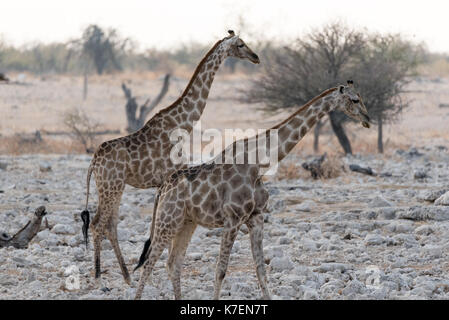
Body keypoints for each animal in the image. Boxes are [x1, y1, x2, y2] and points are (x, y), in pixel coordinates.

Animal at [80, 30, 260, 284]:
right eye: (241, 44)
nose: (256, 57)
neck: (183, 123)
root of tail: (94, 162)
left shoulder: (165, 182)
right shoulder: (169, 176)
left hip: (112, 186)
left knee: (110, 225)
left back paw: (126, 276)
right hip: (111, 186)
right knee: (98, 224)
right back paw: (98, 275)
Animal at [134, 80, 372, 300]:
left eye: (361, 97)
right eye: (354, 100)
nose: (368, 120)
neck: (260, 164)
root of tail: (163, 188)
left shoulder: (256, 217)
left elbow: (260, 270)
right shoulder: (232, 220)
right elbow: (221, 271)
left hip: (186, 222)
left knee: (173, 263)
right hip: (168, 220)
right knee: (149, 263)